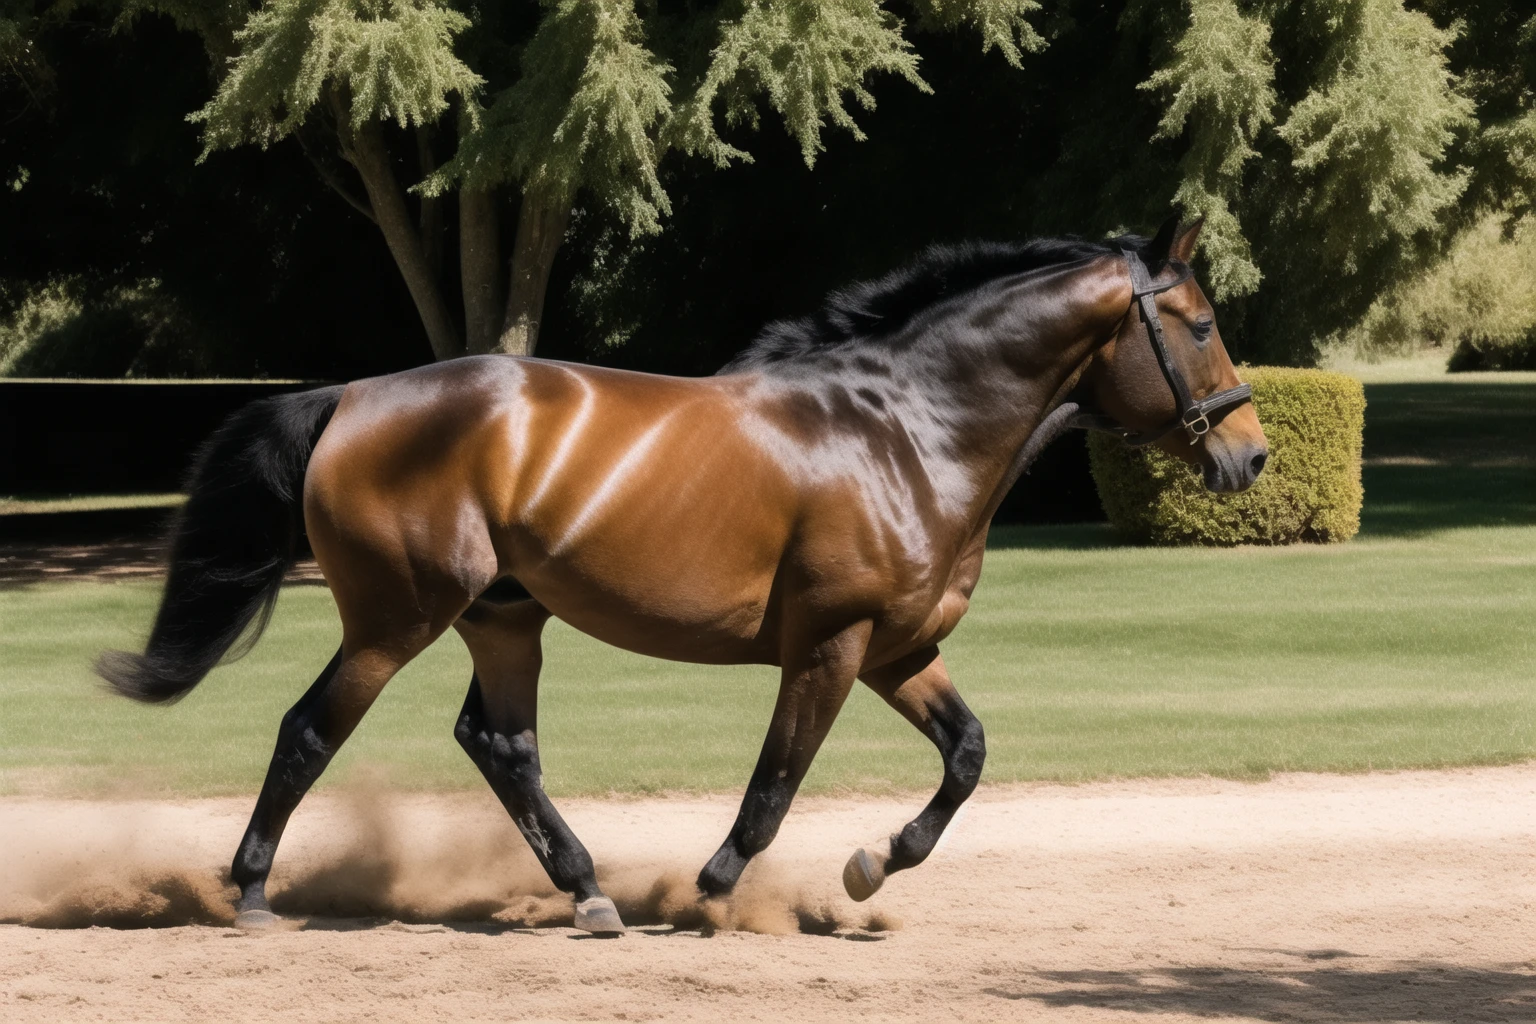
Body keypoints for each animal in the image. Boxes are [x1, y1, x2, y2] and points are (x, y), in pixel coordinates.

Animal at [102, 221, 1265, 933]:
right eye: (1204, 325)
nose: (1250, 454)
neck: (905, 428)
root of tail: (351, 396)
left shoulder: (899, 649)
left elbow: (968, 753)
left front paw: (873, 864)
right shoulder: (832, 647)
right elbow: (774, 784)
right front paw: (715, 889)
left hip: (504, 619)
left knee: (501, 746)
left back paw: (588, 892)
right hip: (397, 618)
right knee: (311, 730)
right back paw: (253, 891)